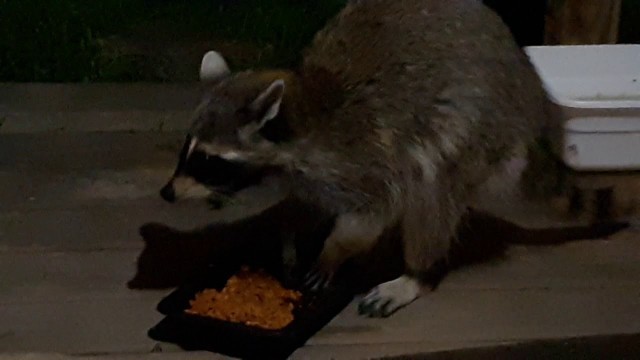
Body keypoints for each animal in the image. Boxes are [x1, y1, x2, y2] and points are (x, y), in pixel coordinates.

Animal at [161, 0, 564, 318]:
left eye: (208, 160)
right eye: (187, 149)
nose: (167, 193)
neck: (305, 112)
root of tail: (533, 98)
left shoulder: (363, 160)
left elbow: (371, 214)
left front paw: (333, 250)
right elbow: (299, 207)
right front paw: (290, 243)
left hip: (481, 127)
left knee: (432, 189)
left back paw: (418, 274)